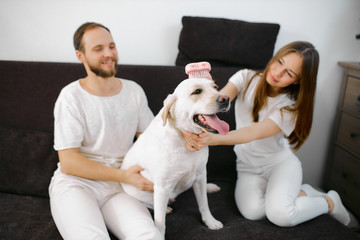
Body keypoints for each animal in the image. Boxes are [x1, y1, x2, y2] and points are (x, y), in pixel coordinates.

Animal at [119, 77, 229, 236]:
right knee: (149, 204)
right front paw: (159, 234)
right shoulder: (162, 188)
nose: (225, 98)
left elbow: (204, 204)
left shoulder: (200, 174)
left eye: (215, 87)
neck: (183, 141)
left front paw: (210, 221)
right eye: (197, 91)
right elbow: (159, 222)